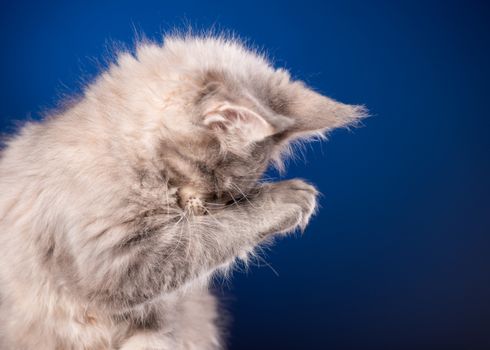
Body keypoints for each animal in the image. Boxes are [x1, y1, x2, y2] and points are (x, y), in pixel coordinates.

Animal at [0, 34, 364, 348]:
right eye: (213, 177)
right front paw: (290, 197)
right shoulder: (112, 260)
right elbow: (211, 236)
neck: (122, 148)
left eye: (230, 194)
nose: (209, 206)